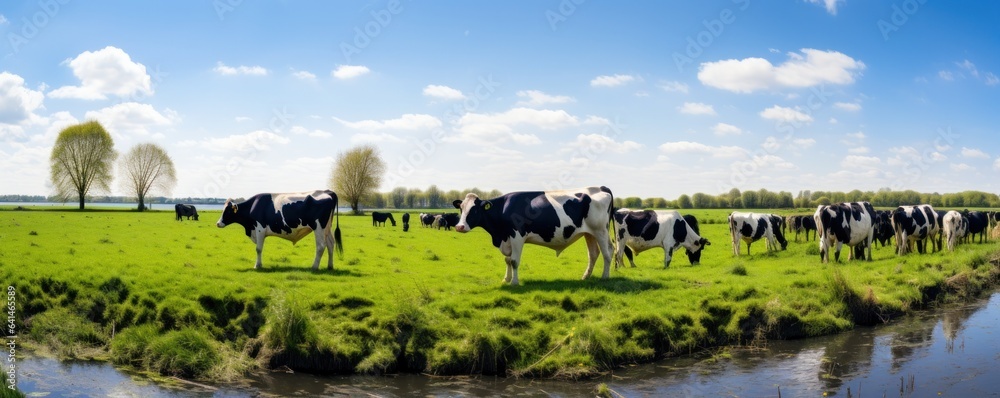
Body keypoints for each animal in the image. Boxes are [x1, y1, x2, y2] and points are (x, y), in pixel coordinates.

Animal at [216, 190, 344, 270]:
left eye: (227, 211)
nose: (218, 223)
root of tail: (327, 191)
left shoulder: (259, 229)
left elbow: (258, 249)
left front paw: (257, 266)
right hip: (327, 227)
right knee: (330, 244)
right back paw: (330, 266)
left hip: (319, 227)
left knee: (321, 246)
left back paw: (314, 267)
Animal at [456, 187, 616, 286]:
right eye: (461, 208)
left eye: (474, 210)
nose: (459, 226)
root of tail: (600, 187)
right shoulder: (507, 239)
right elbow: (507, 260)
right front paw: (506, 279)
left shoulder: (517, 236)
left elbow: (514, 261)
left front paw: (514, 282)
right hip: (589, 233)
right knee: (594, 254)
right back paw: (585, 277)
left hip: (601, 231)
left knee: (607, 253)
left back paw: (605, 277)